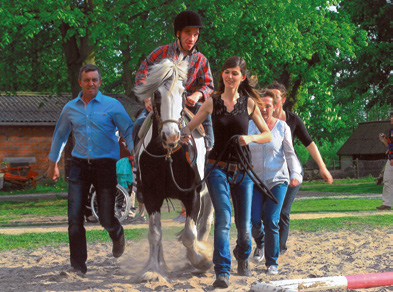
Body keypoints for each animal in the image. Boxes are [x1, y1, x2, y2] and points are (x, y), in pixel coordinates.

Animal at [133, 58, 213, 280]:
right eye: (157, 94)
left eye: (184, 93)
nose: (171, 135)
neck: (170, 154)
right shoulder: (151, 195)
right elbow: (155, 234)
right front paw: (153, 269)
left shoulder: (192, 194)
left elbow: (189, 235)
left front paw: (202, 260)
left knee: (205, 223)